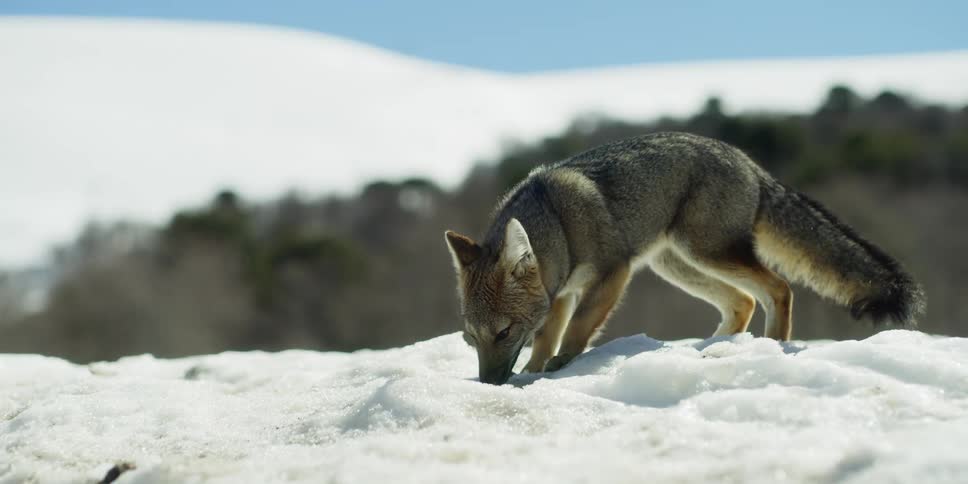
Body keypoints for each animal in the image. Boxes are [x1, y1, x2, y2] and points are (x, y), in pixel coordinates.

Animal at [444, 132, 924, 385]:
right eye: (471, 337)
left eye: (504, 332)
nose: (489, 384)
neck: (559, 222)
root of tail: (749, 163)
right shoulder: (559, 293)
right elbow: (546, 336)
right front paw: (536, 370)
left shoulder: (613, 271)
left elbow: (579, 328)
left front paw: (560, 365)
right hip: (677, 265)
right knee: (742, 301)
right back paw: (713, 349)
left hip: (703, 253)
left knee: (778, 288)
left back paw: (771, 348)